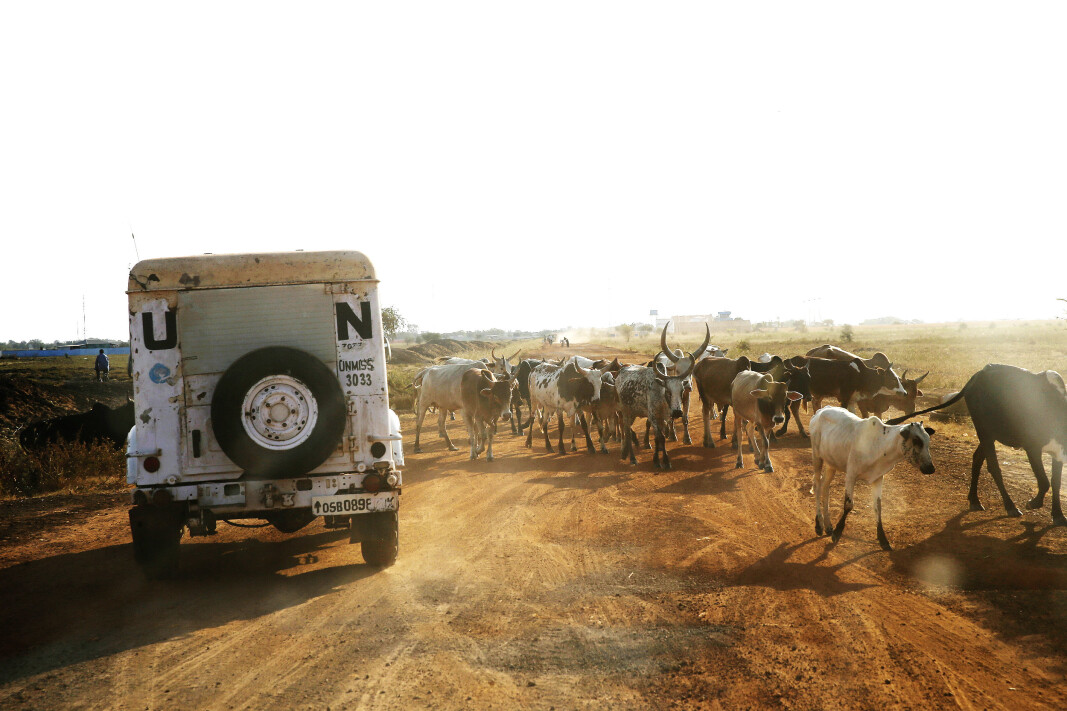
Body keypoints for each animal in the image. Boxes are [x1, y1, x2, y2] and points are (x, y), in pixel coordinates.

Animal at [810, 403, 938, 546]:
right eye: (916, 440)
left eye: (928, 441)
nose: (930, 468)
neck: (881, 444)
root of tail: (822, 410)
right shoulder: (851, 474)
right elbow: (848, 504)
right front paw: (838, 532)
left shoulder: (878, 477)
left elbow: (878, 507)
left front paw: (883, 539)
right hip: (817, 457)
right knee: (817, 485)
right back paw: (819, 524)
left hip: (831, 463)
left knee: (825, 486)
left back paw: (827, 525)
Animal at [887, 362, 1067, 523]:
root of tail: (980, 374)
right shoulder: (1032, 447)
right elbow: (1044, 481)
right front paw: (1033, 503)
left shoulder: (1059, 452)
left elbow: (1055, 482)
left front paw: (1058, 515)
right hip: (984, 432)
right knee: (993, 467)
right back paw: (1010, 506)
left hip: (989, 435)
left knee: (977, 459)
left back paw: (974, 500)